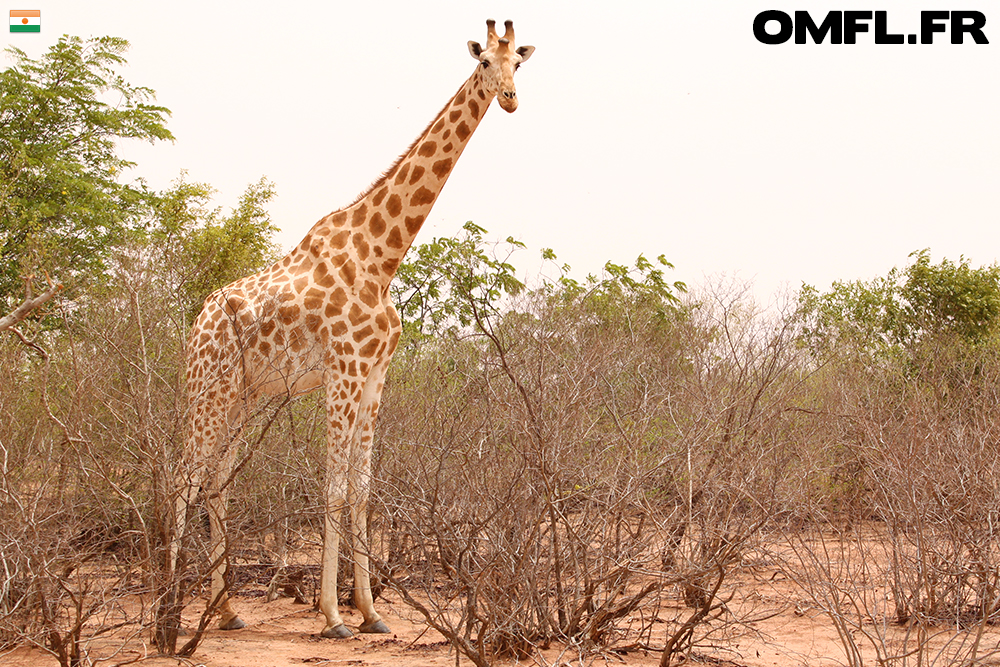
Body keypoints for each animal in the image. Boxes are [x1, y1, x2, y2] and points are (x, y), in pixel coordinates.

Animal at [174, 18, 532, 640]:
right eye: (485, 60)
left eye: (522, 63)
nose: (510, 98)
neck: (382, 255)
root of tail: (197, 322)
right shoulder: (343, 369)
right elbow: (336, 487)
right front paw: (333, 615)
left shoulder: (373, 375)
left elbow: (363, 491)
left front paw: (371, 613)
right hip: (209, 388)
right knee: (182, 476)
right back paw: (165, 605)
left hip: (242, 395)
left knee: (218, 481)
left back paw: (226, 610)